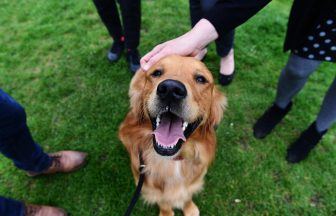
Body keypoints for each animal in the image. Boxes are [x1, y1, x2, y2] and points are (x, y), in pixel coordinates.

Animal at [118, 54, 226, 215]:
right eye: (156, 73)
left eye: (201, 79)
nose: (170, 89)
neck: (171, 161)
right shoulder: (150, 188)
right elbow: (164, 202)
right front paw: (167, 213)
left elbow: (187, 195)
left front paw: (189, 208)